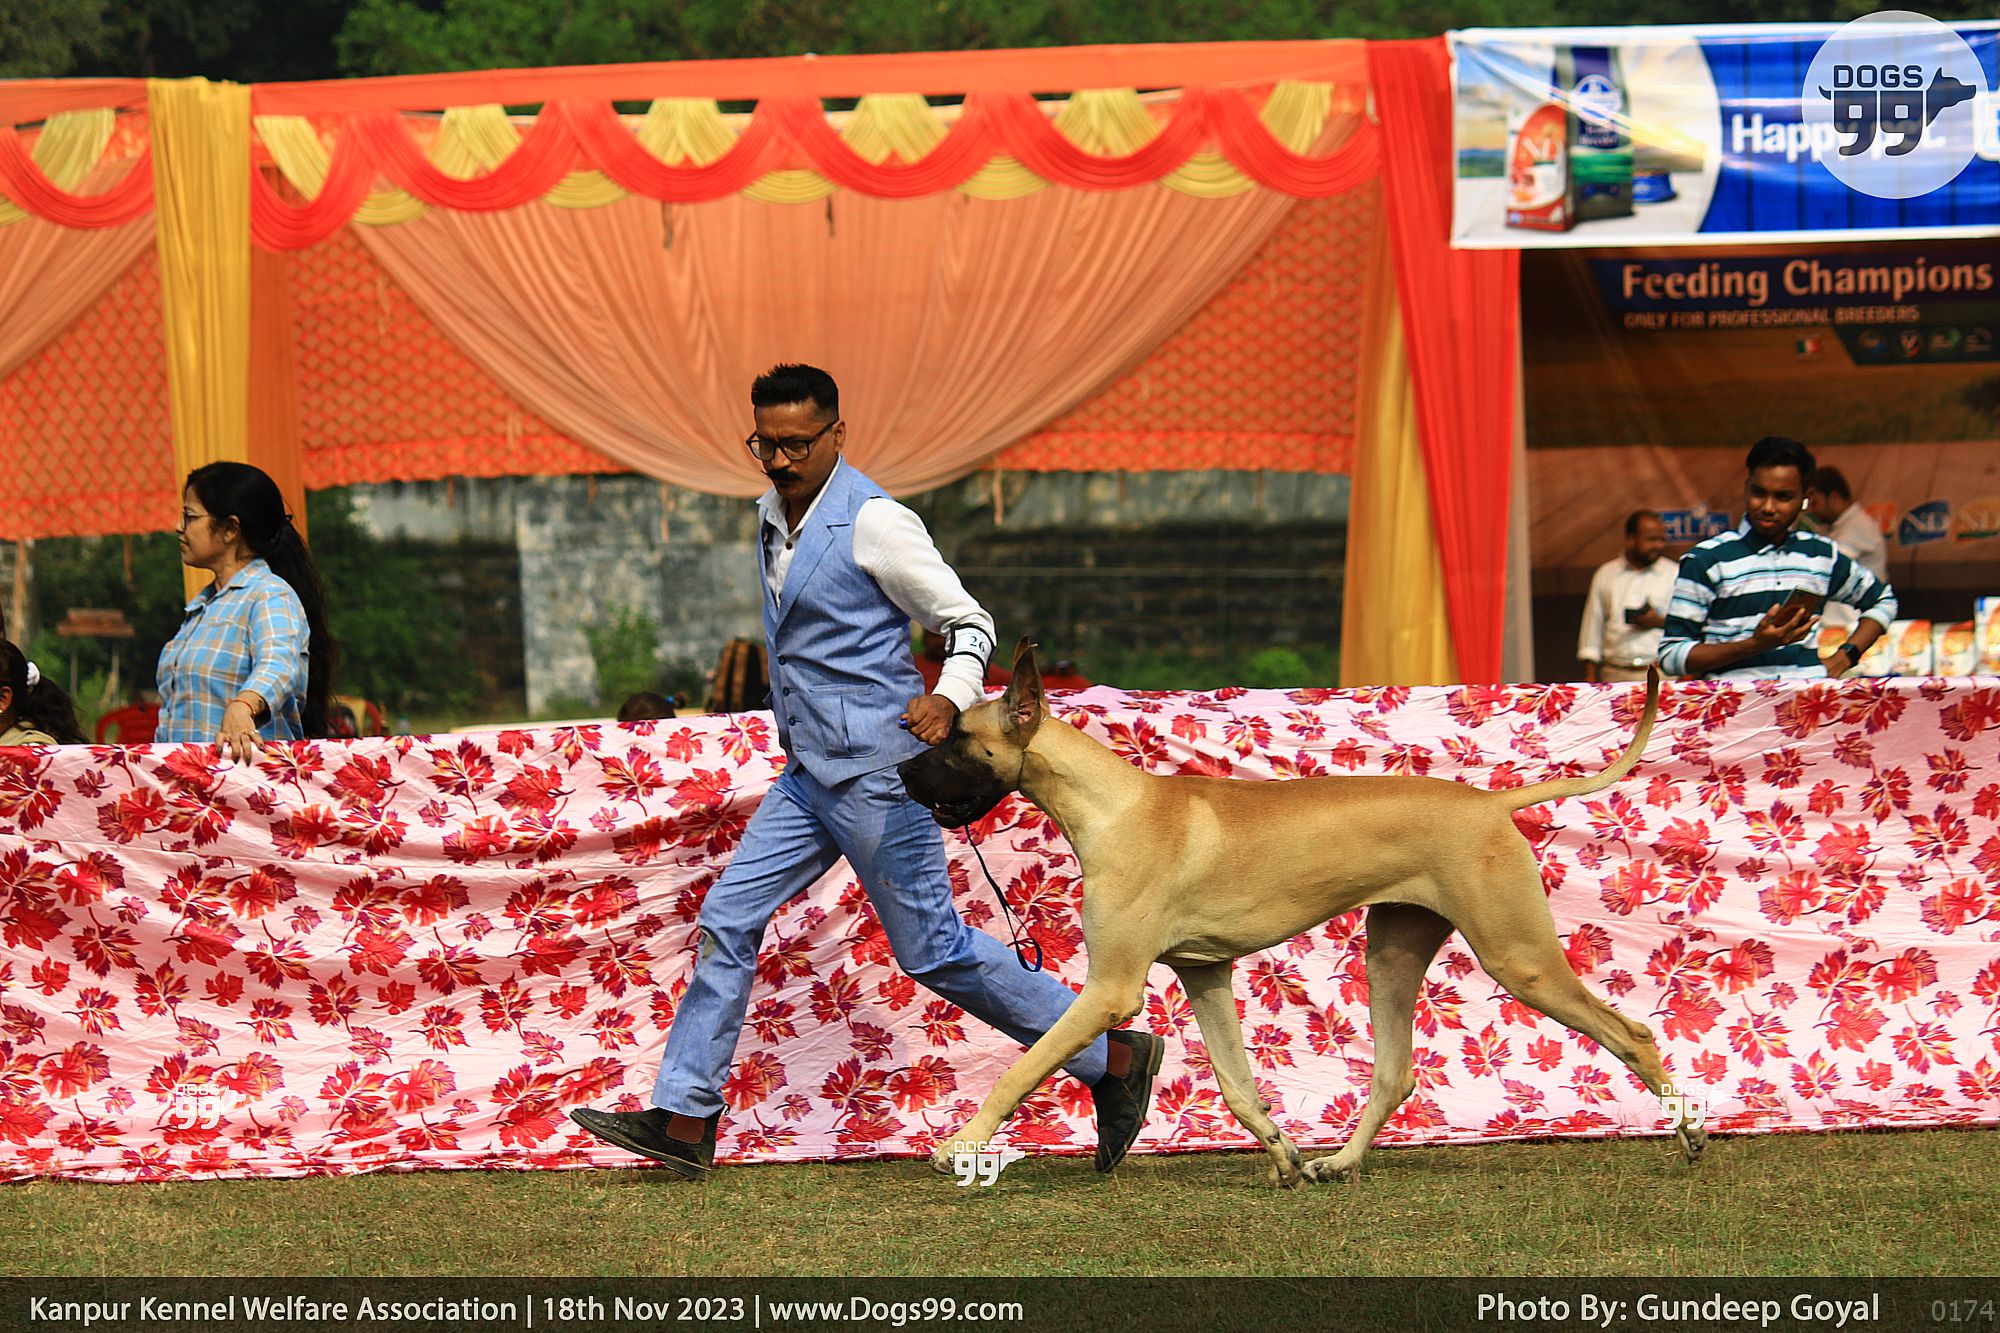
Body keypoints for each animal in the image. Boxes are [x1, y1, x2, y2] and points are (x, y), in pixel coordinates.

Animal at [898, 640, 1702, 1187]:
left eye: (957, 739)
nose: (900, 769)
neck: (1112, 804)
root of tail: (1490, 804)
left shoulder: (1108, 990)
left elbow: (1025, 1064)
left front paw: (961, 1143)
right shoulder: (1206, 973)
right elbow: (1235, 1083)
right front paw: (1282, 1150)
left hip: (1518, 956)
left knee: (1632, 1031)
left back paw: (1691, 1130)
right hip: (1392, 952)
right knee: (1394, 1073)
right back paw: (1338, 1161)